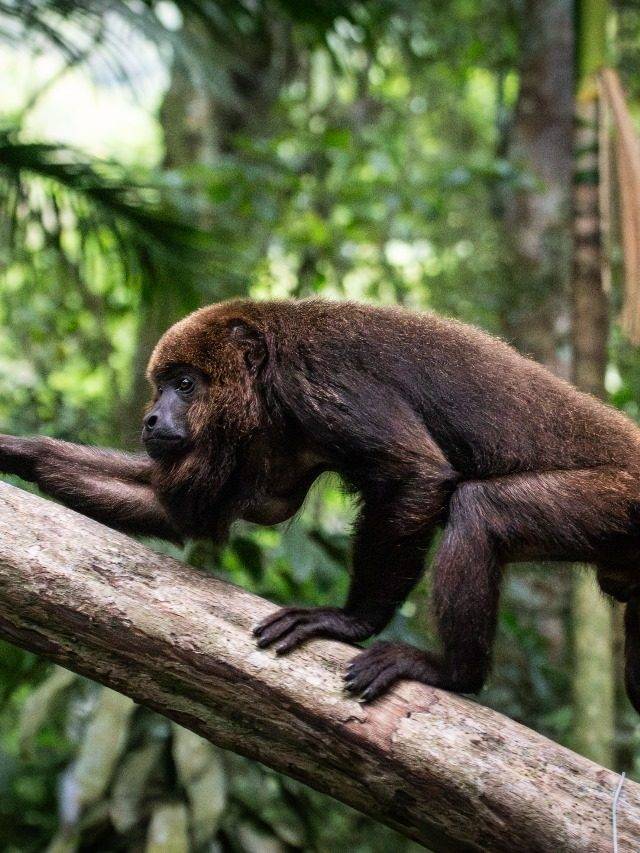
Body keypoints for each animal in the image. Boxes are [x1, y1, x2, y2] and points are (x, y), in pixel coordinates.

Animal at [2, 297, 640, 708]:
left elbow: (417, 474)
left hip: (620, 499)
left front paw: (347, 621)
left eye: (184, 384)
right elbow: (201, 511)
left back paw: (452, 673)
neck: (267, 377)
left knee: (482, 512)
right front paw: (22, 452)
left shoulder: (319, 377)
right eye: (160, 386)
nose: (152, 418)